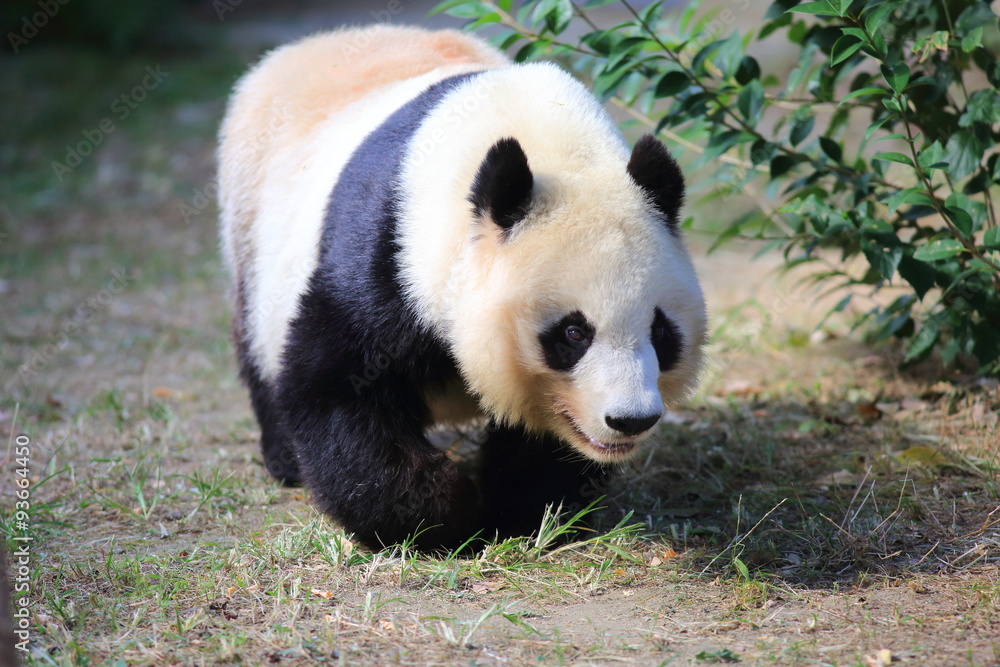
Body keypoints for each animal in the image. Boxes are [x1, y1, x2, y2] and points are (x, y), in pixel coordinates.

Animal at [218, 25, 707, 551]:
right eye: (574, 333)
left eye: (661, 332)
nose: (631, 419)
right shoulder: (389, 250)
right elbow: (336, 385)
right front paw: (439, 518)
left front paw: (521, 513)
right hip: (251, 221)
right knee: (258, 342)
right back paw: (284, 459)